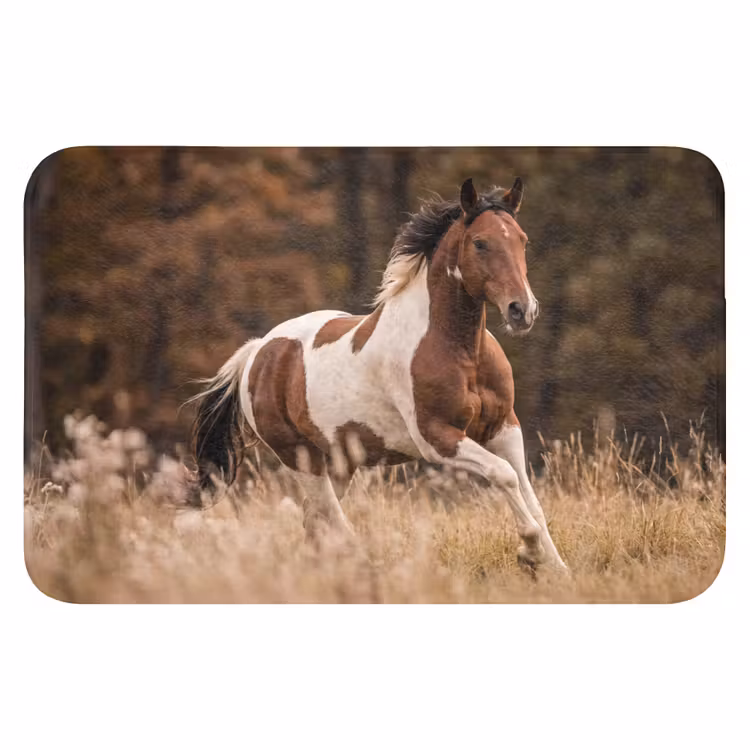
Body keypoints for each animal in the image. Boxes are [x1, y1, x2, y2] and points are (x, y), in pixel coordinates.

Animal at [188, 177, 567, 573]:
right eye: (480, 243)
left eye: (522, 239)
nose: (522, 310)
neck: (461, 351)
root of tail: (257, 351)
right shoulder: (437, 438)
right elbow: (503, 476)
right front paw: (529, 552)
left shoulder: (503, 428)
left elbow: (531, 497)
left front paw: (557, 568)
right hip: (299, 456)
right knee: (330, 519)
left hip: (339, 461)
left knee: (315, 521)